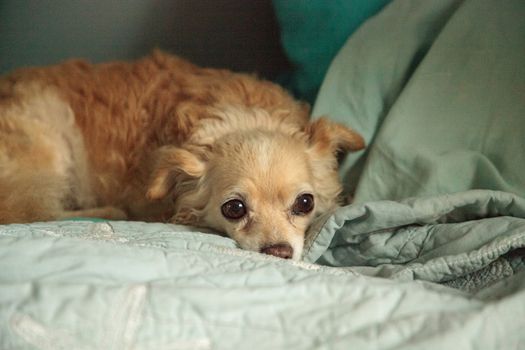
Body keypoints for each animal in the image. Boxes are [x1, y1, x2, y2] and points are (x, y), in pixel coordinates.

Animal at [0, 51, 364, 260]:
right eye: (234, 209)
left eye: (305, 203)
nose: (278, 252)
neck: (247, 119)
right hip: (50, 136)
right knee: (29, 210)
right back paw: (108, 210)